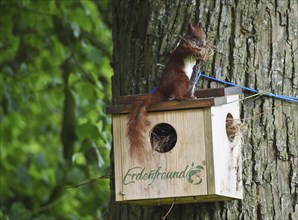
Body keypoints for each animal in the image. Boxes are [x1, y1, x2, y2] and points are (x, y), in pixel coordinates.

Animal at [127, 22, 206, 162]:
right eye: (193, 36)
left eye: (204, 34)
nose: (202, 44)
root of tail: (162, 88)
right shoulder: (180, 50)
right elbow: (185, 50)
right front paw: (196, 51)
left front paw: (204, 55)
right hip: (181, 79)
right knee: (178, 95)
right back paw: (185, 98)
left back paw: (192, 96)